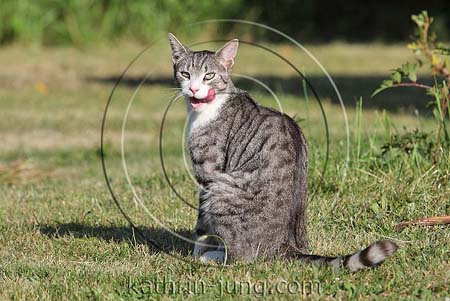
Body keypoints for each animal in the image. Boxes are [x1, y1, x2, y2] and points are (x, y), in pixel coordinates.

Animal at [168, 32, 398, 270]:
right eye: (185, 74)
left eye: (209, 76)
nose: (193, 89)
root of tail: (287, 246)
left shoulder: (208, 173)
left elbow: (201, 226)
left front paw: (197, 253)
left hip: (220, 190)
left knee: (242, 256)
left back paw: (215, 256)